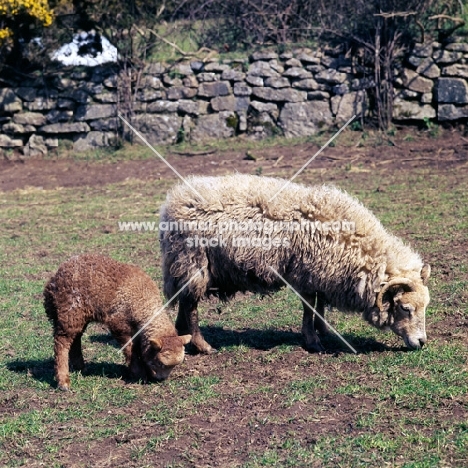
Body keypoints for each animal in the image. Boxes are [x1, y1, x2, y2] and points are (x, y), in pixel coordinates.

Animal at [43, 254, 190, 390]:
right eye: (159, 363)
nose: (161, 379)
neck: (143, 302)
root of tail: (57, 275)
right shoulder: (119, 324)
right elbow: (130, 349)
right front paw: (139, 374)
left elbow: (140, 350)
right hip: (70, 311)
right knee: (62, 342)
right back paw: (63, 381)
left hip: (79, 315)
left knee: (75, 339)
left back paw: (80, 367)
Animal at [159, 174, 430, 352]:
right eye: (405, 308)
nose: (421, 342)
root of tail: (172, 201)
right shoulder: (306, 273)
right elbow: (310, 307)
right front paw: (313, 341)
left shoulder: (321, 273)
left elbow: (320, 304)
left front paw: (323, 330)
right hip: (193, 262)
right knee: (191, 306)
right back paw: (202, 345)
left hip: (183, 266)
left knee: (184, 301)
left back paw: (182, 335)